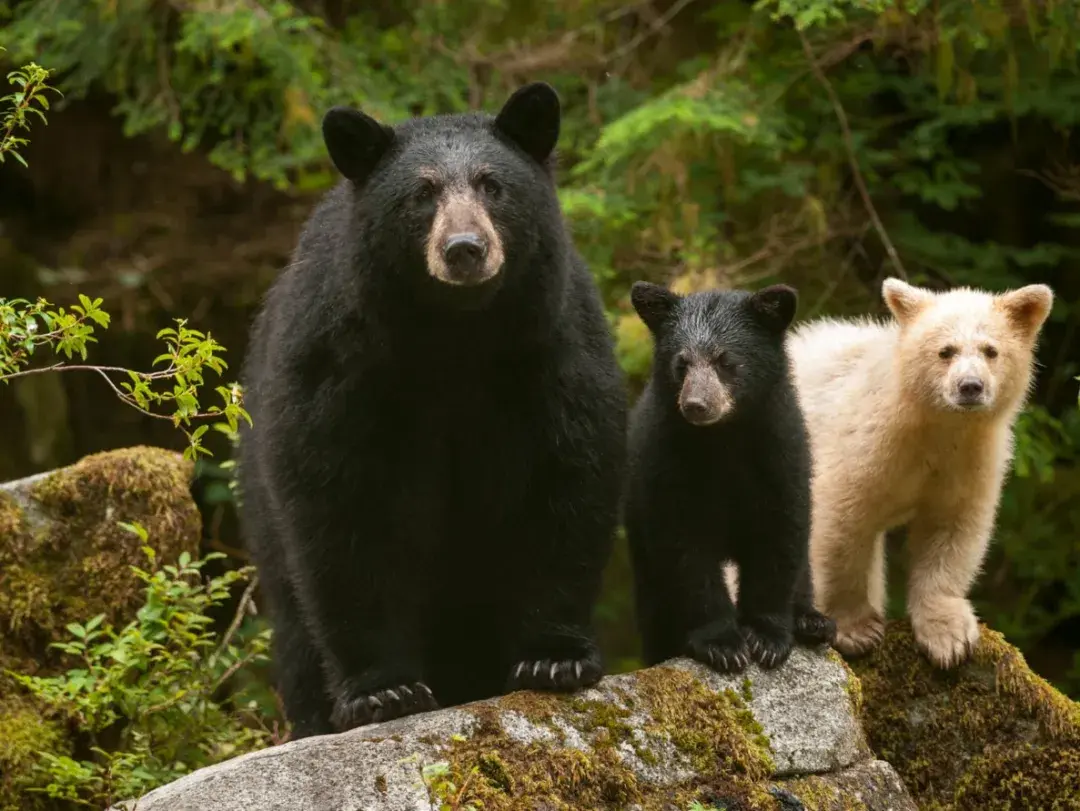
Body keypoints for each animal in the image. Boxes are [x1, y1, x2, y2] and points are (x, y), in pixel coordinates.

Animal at [236, 84, 626, 742]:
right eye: (421, 193)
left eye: (492, 184)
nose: (465, 250)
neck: (454, 336)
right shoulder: (340, 365)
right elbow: (340, 510)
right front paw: (382, 691)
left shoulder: (551, 350)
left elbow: (566, 482)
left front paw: (555, 658)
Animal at [626, 282, 833, 673]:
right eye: (681, 363)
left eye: (725, 360)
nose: (696, 405)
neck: (723, 439)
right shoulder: (666, 463)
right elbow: (686, 552)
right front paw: (722, 644)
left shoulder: (781, 453)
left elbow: (779, 537)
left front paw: (767, 638)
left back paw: (812, 621)